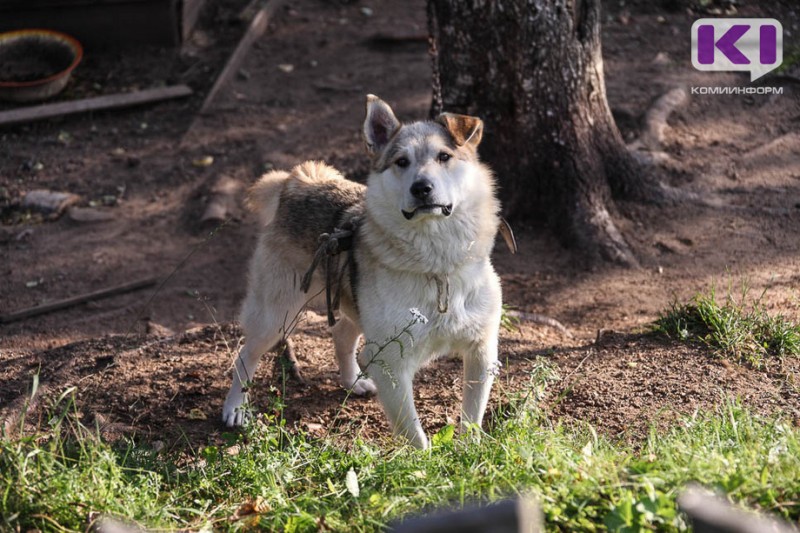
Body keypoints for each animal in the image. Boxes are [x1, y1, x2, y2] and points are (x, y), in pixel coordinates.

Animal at [222, 93, 504, 446]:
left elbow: (472, 419)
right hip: (277, 315)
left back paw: (352, 381)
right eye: (401, 162)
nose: (422, 188)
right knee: (245, 355)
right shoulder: (391, 363)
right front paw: (428, 460)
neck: (437, 262)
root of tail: (297, 180)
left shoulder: (482, 351)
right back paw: (235, 407)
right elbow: (414, 433)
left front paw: (469, 452)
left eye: (444, 157)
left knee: (342, 334)